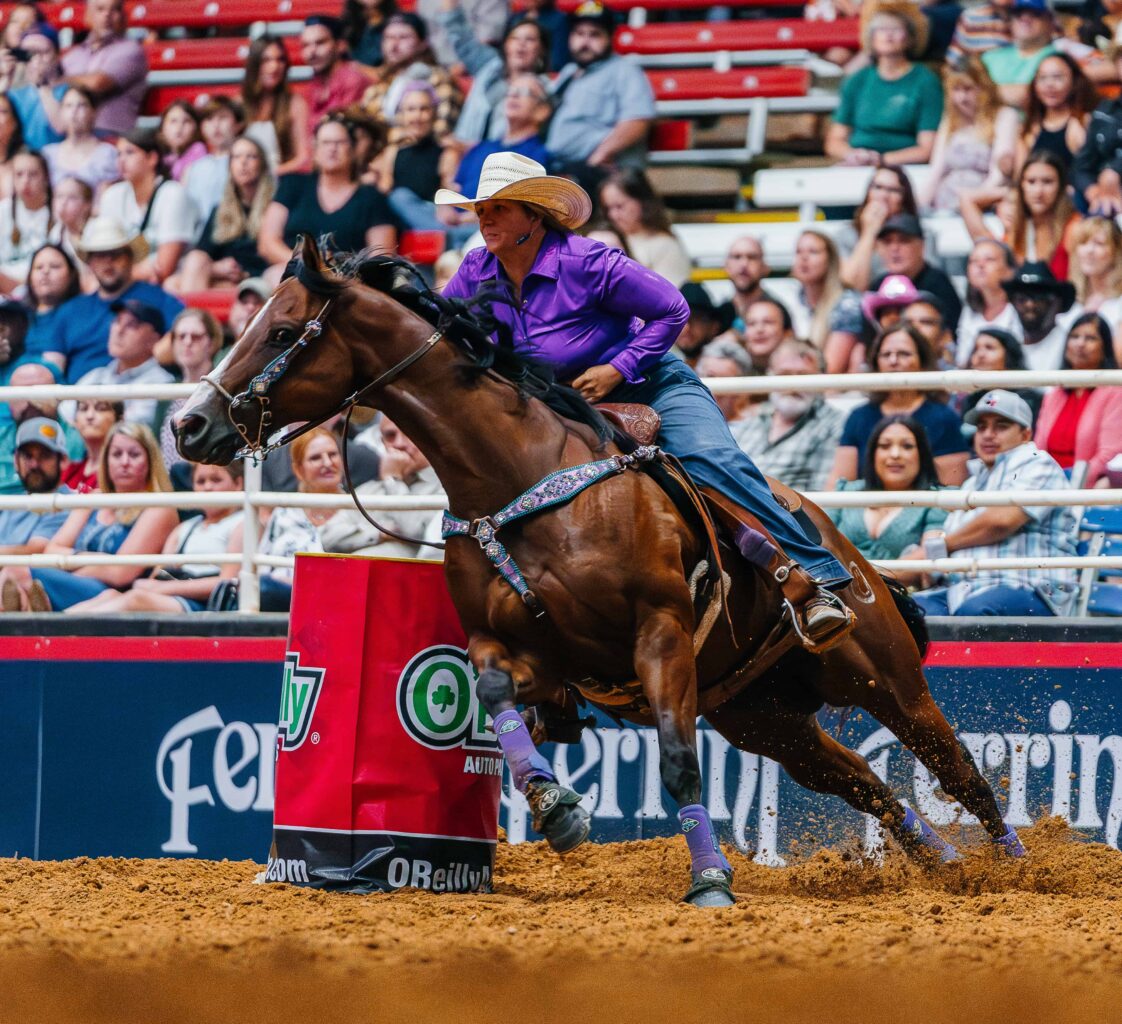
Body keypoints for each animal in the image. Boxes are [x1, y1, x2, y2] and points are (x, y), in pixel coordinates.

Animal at [175, 237, 1027, 901]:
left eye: (282, 330)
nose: (188, 425)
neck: (514, 474)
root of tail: (850, 554)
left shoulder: (662, 634)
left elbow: (679, 765)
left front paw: (710, 881)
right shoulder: (521, 651)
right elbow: (492, 697)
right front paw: (557, 807)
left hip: (882, 676)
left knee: (957, 771)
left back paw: (1018, 870)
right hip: (765, 716)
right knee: (864, 780)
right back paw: (944, 864)